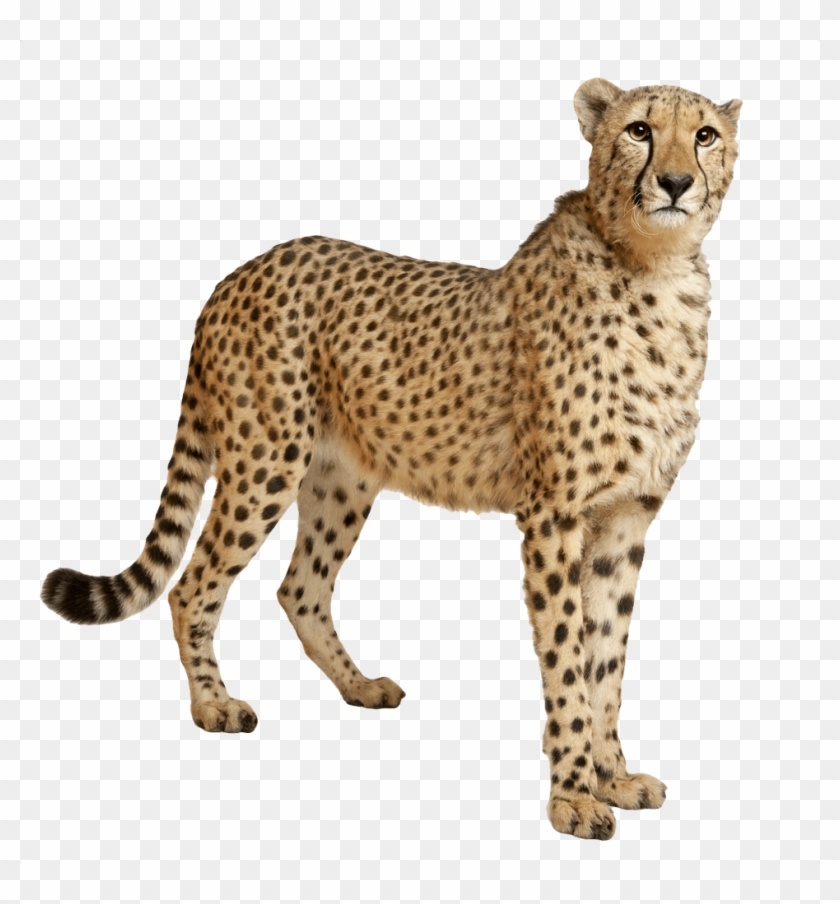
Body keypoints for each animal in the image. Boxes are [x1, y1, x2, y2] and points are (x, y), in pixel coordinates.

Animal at [41, 78, 741, 840]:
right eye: (640, 130)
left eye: (704, 135)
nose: (676, 182)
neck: (653, 269)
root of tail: (239, 272)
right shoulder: (554, 517)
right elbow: (566, 657)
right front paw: (574, 796)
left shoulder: (625, 519)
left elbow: (606, 658)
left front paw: (613, 775)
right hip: (265, 460)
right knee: (192, 585)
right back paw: (213, 706)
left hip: (340, 480)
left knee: (300, 588)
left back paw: (359, 686)